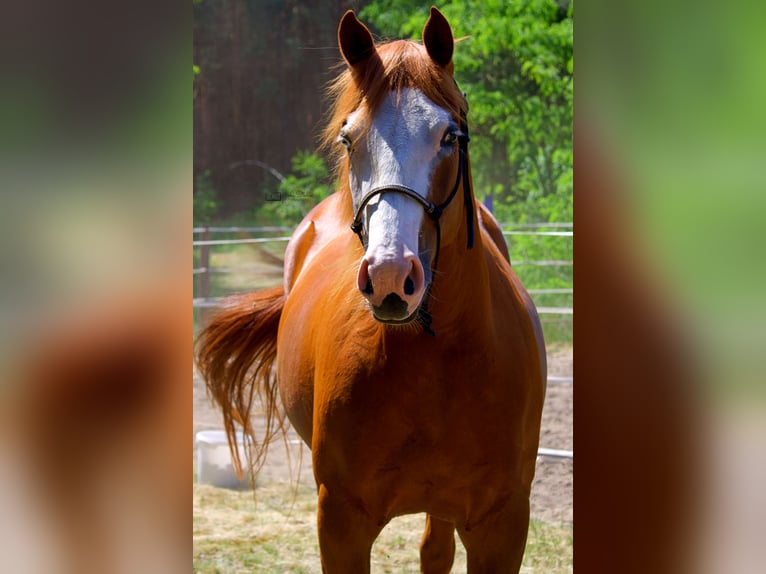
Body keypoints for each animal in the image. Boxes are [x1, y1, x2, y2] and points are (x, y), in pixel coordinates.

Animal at [196, 6, 544, 572]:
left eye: (449, 137)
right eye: (348, 139)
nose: (388, 277)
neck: (434, 366)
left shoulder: (503, 525)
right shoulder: (341, 523)